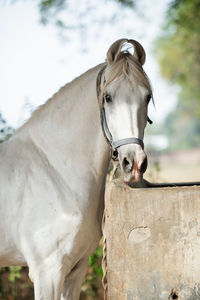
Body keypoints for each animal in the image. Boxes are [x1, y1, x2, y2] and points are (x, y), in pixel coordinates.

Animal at [0, 38, 153, 298]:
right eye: (108, 97)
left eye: (147, 96)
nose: (133, 163)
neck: (54, 170)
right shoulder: (48, 273)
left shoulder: (75, 271)